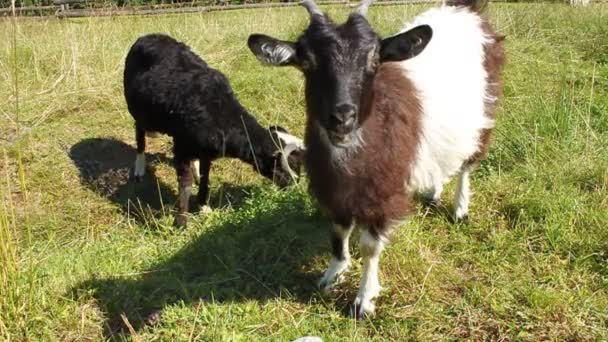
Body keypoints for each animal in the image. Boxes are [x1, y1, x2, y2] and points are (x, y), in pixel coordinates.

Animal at [123, 34, 304, 227]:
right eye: (289, 165)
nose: (296, 188)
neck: (221, 115)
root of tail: (148, 36)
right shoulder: (181, 149)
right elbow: (185, 185)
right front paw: (181, 222)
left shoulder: (205, 152)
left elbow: (205, 180)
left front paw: (204, 207)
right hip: (140, 112)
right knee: (140, 135)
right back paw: (139, 169)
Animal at [249, 0, 506, 316]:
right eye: (307, 63)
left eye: (373, 61)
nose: (342, 118)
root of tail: (465, 9)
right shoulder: (334, 191)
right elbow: (338, 231)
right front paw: (333, 272)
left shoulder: (382, 193)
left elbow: (370, 246)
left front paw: (364, 299)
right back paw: (434, 193)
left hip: (483, 118)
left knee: (466, 166)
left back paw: (460, 209)